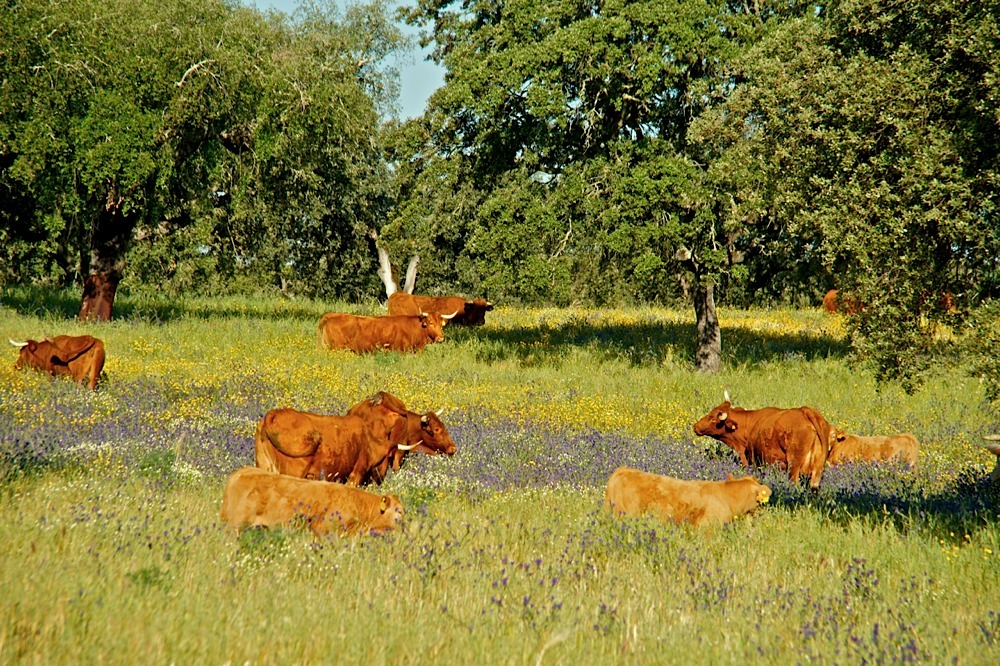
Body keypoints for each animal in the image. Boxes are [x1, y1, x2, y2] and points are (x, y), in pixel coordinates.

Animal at [692, 390, 832, 488]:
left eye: (712, 418)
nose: (696, 426)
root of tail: (805, 411)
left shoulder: (755, 460)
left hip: (794, 465)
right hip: (816, 470)